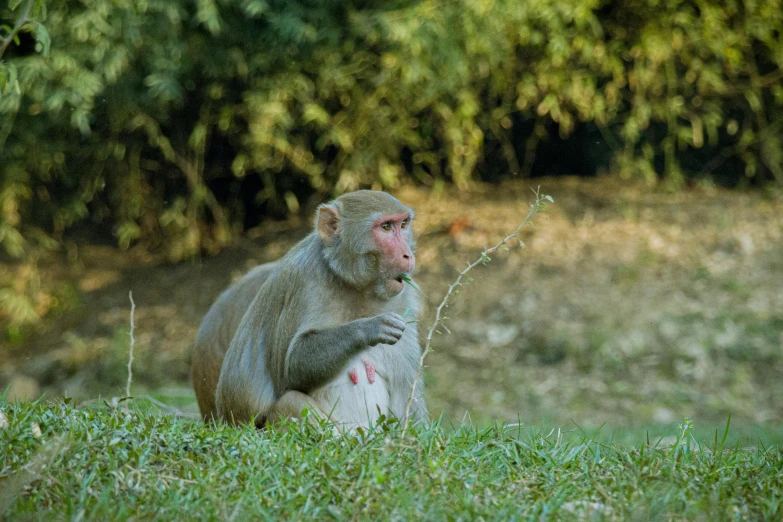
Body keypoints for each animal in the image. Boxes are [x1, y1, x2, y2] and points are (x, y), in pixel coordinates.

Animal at [194, 189, 432, 428]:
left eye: (403, 224)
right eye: (385, 227)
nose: (407, 255)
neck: (353, 286)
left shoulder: (402, 301)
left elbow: (406, 397)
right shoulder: (305, 280)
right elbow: (290, 368)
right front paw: (370, 328)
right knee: (291, 401)